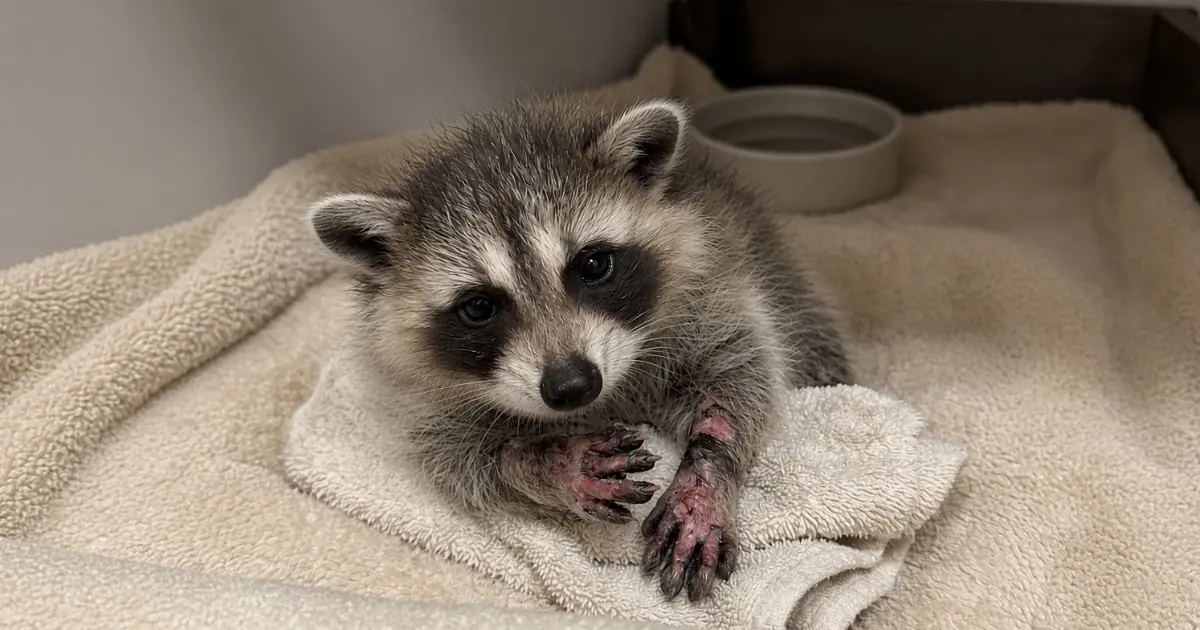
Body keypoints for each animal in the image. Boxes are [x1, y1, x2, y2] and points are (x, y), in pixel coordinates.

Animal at [307, 95, 853, 602]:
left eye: (592, 265)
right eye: (479, 307)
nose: (572, 386)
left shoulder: (711, 290)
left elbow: (741, 371)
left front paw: (706, 476)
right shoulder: (422, 397)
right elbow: (456, 456)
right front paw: (547, 461)